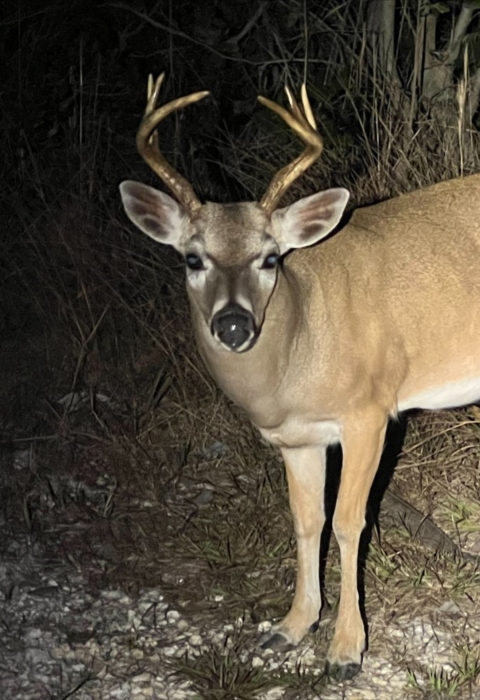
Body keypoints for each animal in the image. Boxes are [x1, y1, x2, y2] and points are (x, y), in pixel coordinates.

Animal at [120, 73, 480, 680]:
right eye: (192, 258)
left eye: (270, 257)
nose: (234, 323)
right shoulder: (297, 439)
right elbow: (306, 521)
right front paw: (290, 627)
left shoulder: (368, 412)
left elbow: (351, 521)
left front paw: (347, 649)